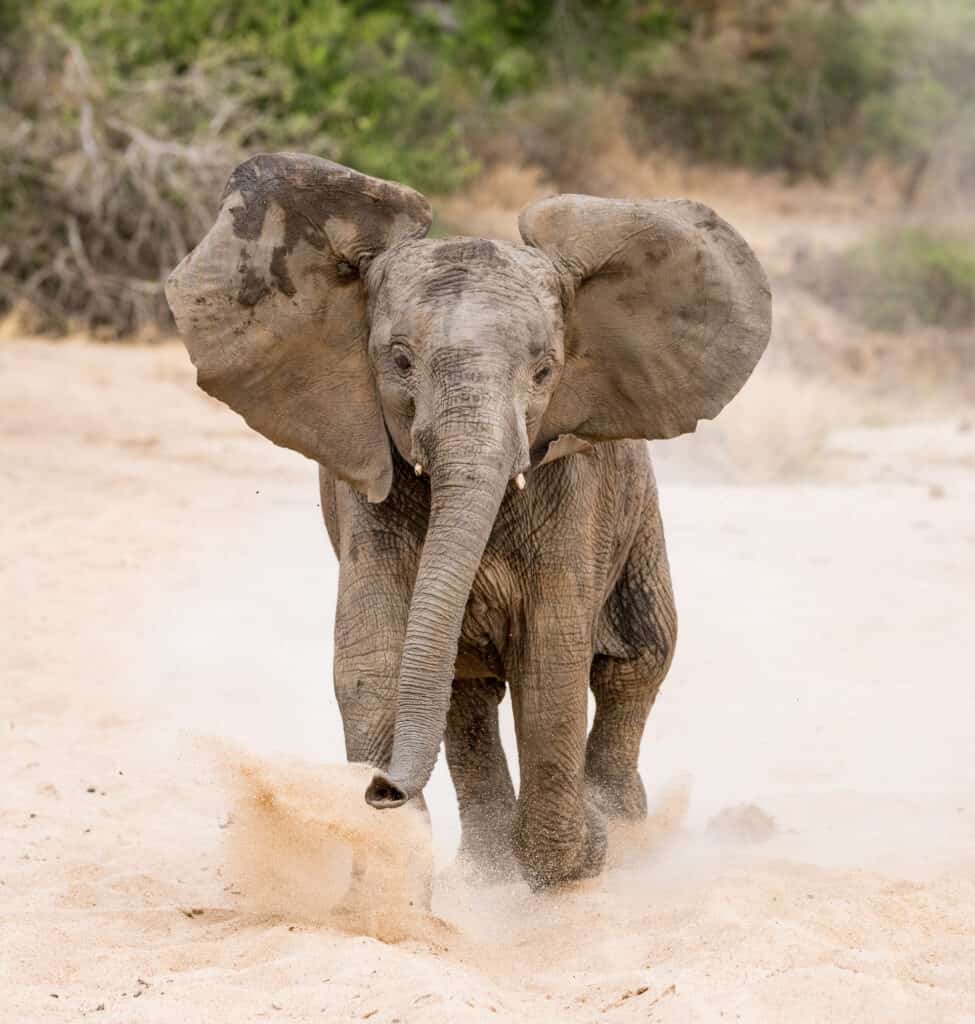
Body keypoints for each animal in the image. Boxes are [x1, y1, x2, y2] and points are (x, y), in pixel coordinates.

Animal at [168, 151, 778, 888]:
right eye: (399, 361)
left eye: (544, 370)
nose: (381, 790)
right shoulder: (366, 499)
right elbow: (373, 664)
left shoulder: (570, 493)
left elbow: (551, 666)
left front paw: (579, 855)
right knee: (466, 695)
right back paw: (490, 871)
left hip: (637, 514)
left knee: (637, 657)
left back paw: (626, 830)